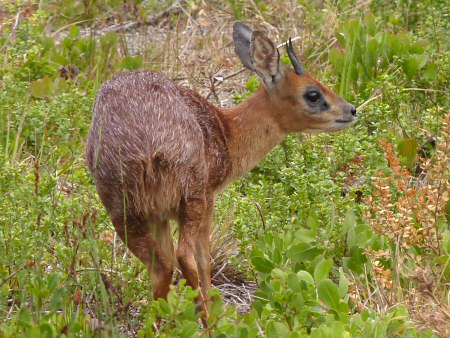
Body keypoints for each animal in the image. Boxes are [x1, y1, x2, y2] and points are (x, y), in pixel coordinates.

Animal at [86, 22, 356, 324]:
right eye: (313, 93)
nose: (351, 110)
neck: (227, 133)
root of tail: (146, 146)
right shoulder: (208, 197)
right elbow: (204, 259)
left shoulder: (161, 217)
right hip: (190, 198)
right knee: (185, 256)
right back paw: (208, 321)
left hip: (124, 211)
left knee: (161, 266)